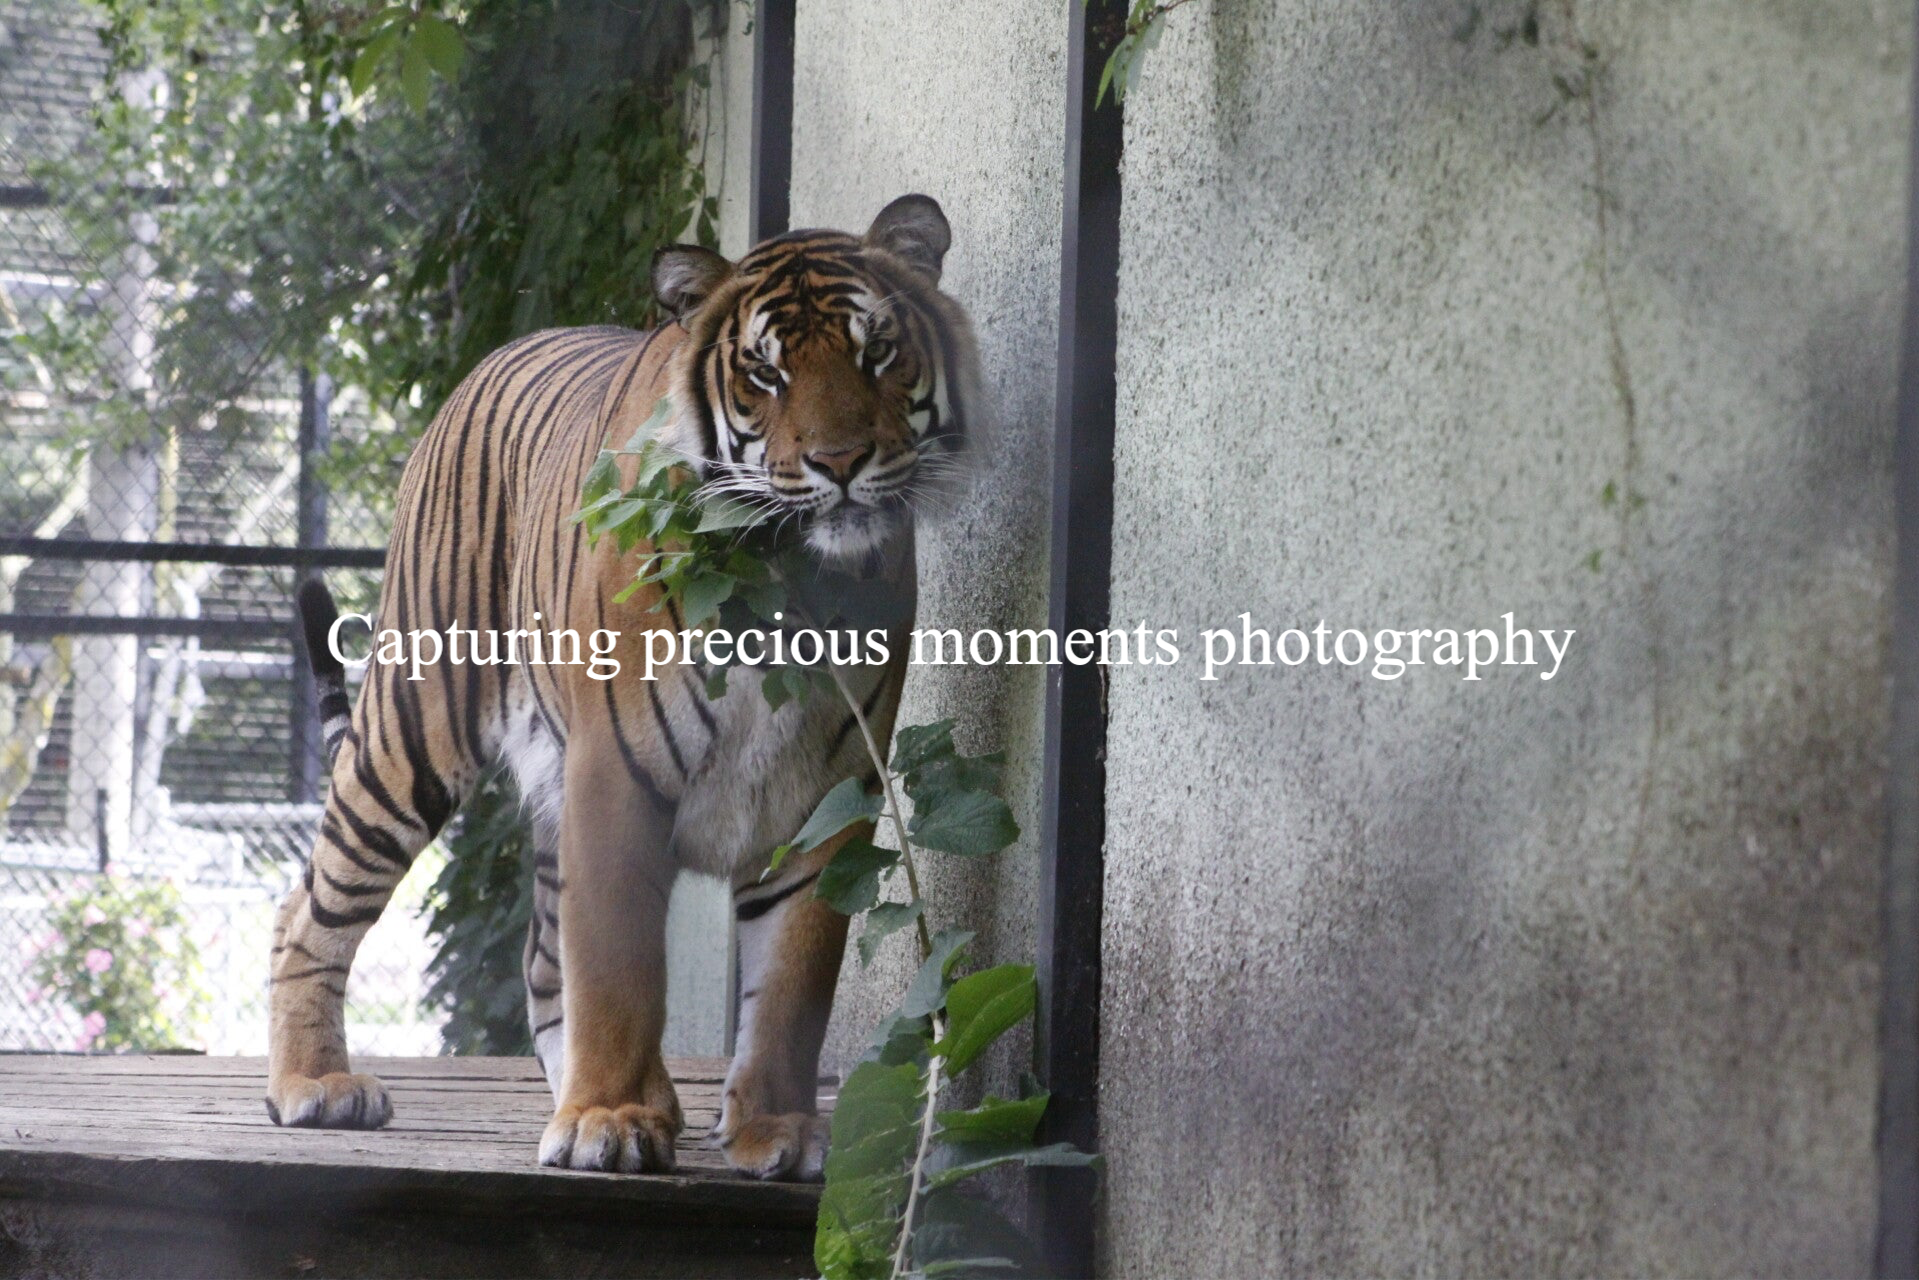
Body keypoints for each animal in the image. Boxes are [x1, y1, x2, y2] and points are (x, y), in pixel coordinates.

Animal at [265, 194, 978, 1181]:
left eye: (877, 351)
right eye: (764, 371)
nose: (838, 463)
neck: (783, 575)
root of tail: (496, 354)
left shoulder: (825, 801)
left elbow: (793, 978)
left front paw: (776, 1129)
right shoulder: (617, 775)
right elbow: (618, 970)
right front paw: (609, 1118)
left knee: (537, 957)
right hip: (413, 728)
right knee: (310, 906)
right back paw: (315, 1085)